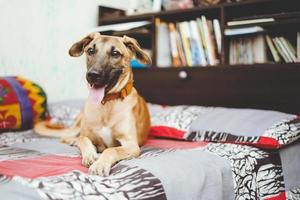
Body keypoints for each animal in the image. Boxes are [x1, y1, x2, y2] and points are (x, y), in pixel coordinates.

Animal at [34, 33, 151, 177]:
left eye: (115, 53)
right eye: (90, 51)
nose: (92, 75)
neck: (107, 104)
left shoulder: (132, 145)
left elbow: (111, 150)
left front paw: (100, 164)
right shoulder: (86, 135)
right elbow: (84, 140)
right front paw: (90, 155)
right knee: (66, 137)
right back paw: (73, 140)